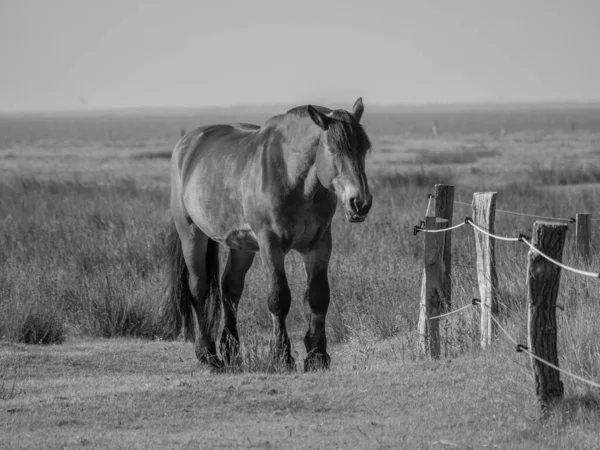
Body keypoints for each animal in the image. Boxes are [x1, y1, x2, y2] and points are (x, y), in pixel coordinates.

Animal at [162, 96, 372, 370]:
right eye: (333, 149)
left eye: (365, 148)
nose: (360, 202)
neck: (293, 177)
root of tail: (186, 145)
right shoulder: (271, 245)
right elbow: (279, 298)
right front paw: (281, 355)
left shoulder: (319, 245)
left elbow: (318, 296)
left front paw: (317, 355)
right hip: (191, 233)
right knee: (199, 288)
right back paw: (208, 354)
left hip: (241, 245)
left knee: (230, 289)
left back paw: (230, 351)